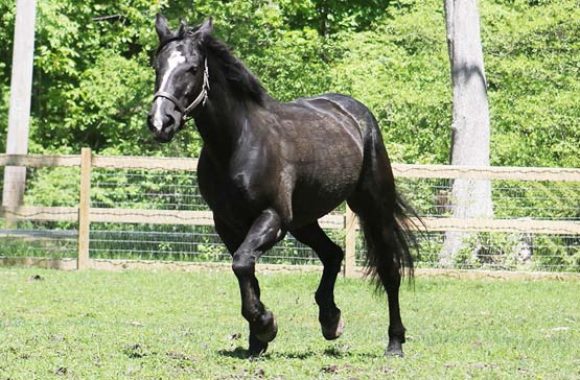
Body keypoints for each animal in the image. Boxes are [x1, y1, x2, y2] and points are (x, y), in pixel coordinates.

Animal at [147, 14, 414, 358]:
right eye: (157, 65)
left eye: (192, 68)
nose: (160, 123)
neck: (237, 142)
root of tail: (355, 113)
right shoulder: (228, 224)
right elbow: (246, 271)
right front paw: (257, 339)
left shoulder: (272, 217)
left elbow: (242, 264)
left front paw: (265, 325)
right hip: (303, 220)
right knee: (333, 254)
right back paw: (330, 320)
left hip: (372, 206)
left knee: (389, 269)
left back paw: (394, 342)